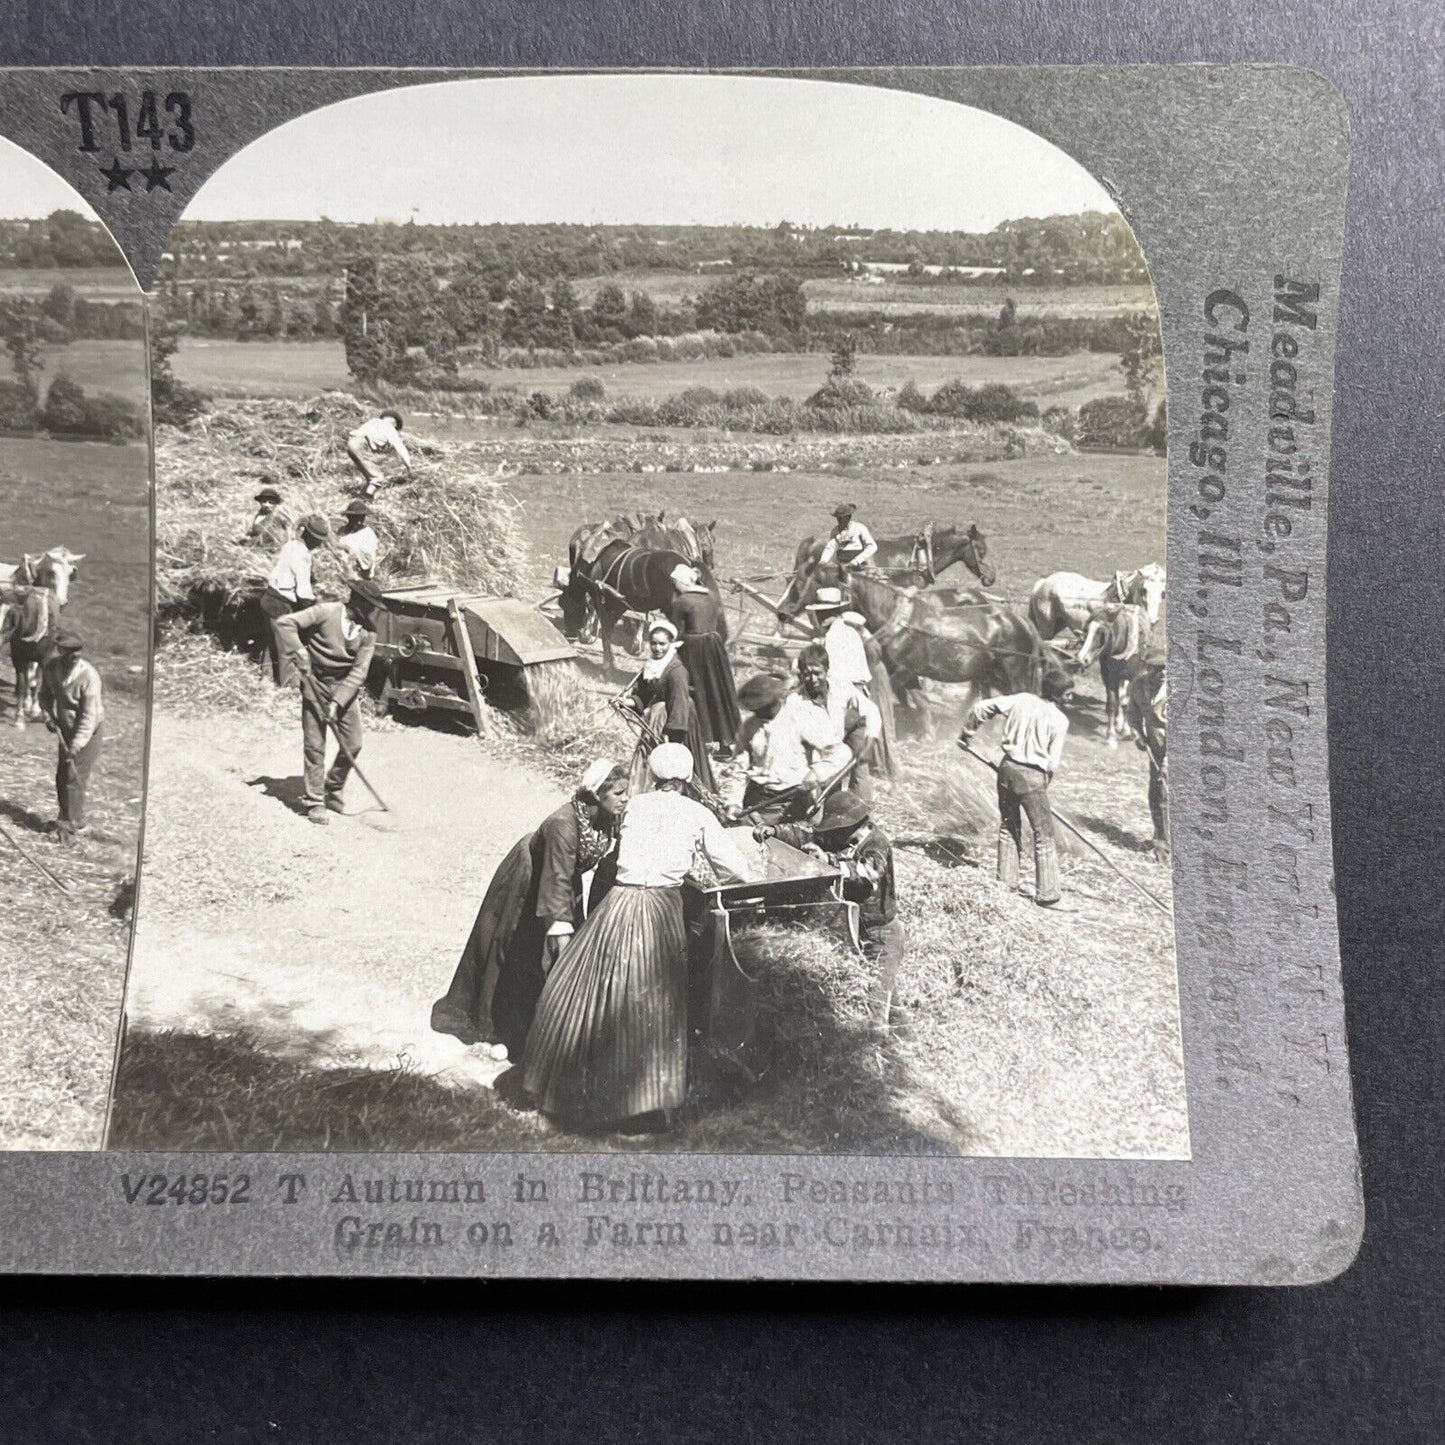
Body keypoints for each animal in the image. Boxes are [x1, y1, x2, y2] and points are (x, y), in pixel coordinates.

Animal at [0, 546, 82, 728]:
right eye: (51, 571)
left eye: (71, 573)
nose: (62, 602)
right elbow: (27, 677)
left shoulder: (44, 654)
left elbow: (37, 677)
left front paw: (34, 708)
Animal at [560, 543, 728, 676]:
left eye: (566, 605)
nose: (568, 633)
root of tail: (691, 562)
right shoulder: (619, 607)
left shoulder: (607, 605)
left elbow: (606, 634)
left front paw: (607, 666)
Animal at [1028, 560, 1161, 641]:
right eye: (1144, 589)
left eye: (1162, 592)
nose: (1153, 620)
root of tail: (1041, 583)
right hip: (1046, 626)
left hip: (1059, 624)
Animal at [1080, 601, 1156, 745]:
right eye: (1086, 629)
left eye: (1101, 631)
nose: (1082, 658)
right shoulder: (1110, 677)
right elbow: (1112, 703)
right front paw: (1111, 736)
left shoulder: (1134, 677)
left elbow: (1129, 703)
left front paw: (1132, 733)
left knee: (1125, 700)